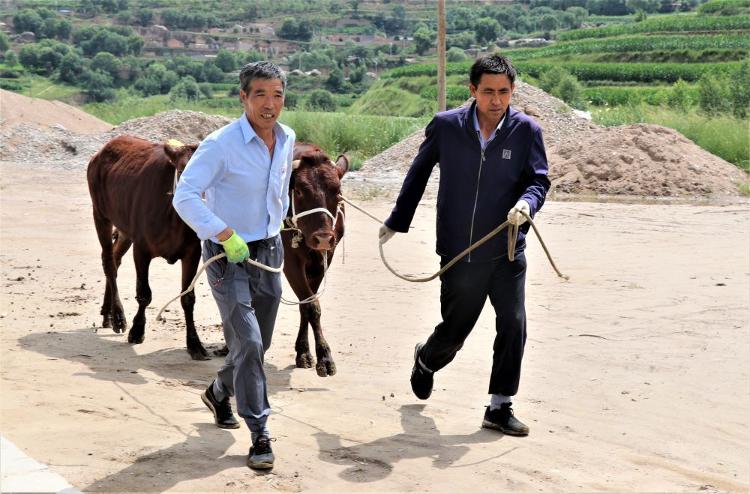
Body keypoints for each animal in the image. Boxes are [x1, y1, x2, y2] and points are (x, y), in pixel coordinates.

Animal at [89, 135, 212, 358]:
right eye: (183, 169)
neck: (174, 218)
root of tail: (103, 150)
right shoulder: (142, 249)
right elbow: (144, 293)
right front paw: (137, 330)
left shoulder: (192, 251)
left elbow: (188, 298)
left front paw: (194, 343)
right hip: (100, 215)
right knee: (109, 262)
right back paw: (117, 317)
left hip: (125, 230)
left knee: (115, 259)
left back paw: (107, 313)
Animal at [284, 145, 352, 376]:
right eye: (299, 191)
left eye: (338, 192)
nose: (323, 238)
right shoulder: (290, 262)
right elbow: (312, 305)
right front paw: (324, 356)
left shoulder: (323, 260)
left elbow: (307, 304)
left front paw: (304, 351)